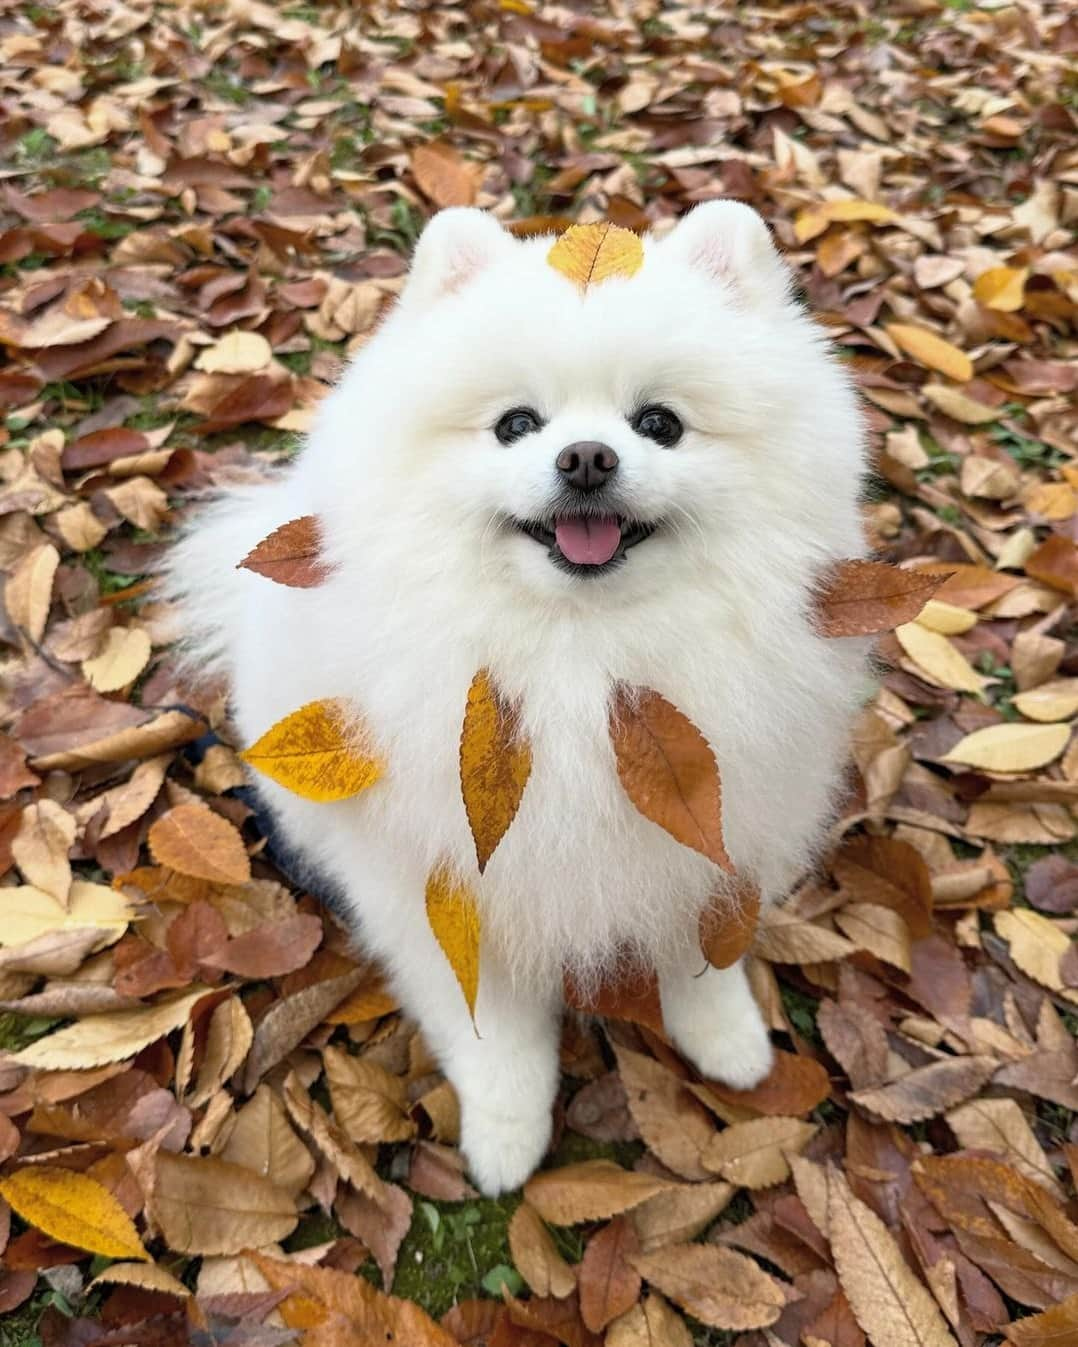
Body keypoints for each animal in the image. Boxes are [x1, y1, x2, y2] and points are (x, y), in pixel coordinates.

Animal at [170, 199, 873, 1190]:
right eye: (515, 424)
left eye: (659, 422)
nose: (586, 457)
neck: (578, 659)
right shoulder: (445, 879)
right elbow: (491, 1027)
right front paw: (506, 1129)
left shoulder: (702, 828)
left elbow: (700, 956)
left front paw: (727, 1038)